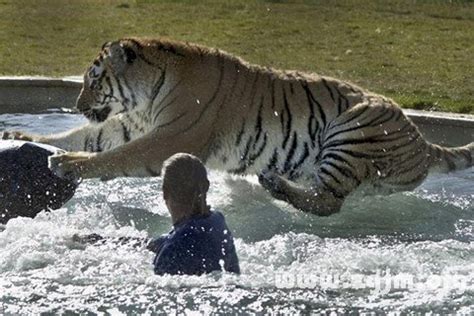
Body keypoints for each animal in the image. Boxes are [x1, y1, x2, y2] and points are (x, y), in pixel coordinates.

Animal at [1, 36, 472, 215]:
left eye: (93, 80)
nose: (78, 103)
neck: (149, 90)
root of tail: (422, 140)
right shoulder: (131, 123)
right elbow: (86, 135)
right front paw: (21, 135)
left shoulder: (166, 138)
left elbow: (113, 156)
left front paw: (67, 163)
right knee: (330, 196)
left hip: (352, 130)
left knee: (329, 202)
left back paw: (275, 184)